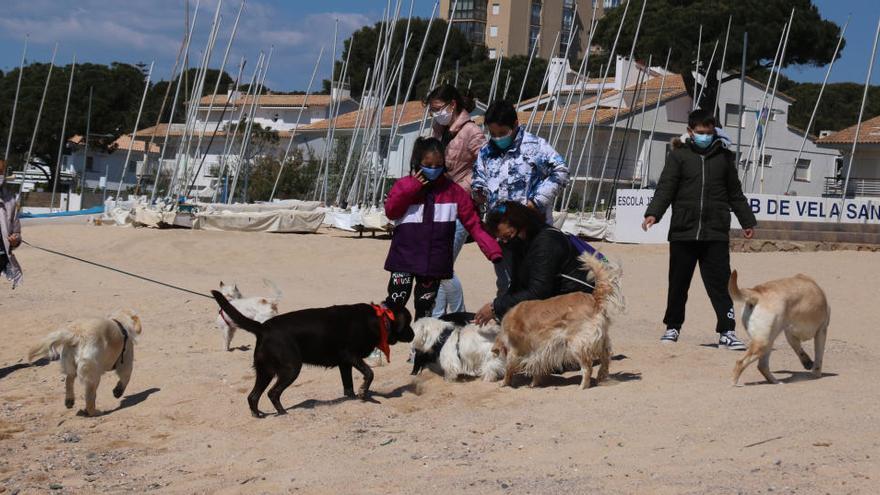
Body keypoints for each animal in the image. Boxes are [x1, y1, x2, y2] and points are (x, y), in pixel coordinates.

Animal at [210, 290, 412, 418]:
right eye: (409, 322)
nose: (413, 335)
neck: (379, 319)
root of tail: (263, 328)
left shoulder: (344, 364)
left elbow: (348, 387)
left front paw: (354, 397)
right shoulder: (350, 356)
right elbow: (369, 373)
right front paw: (363, 393)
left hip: (265, 371)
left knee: (253, 396)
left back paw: (258, 415)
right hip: (291, 369)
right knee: (273, 393)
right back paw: (283, 413)